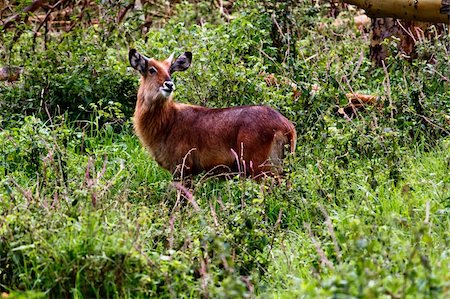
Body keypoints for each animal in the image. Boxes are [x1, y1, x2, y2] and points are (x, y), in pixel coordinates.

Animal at [128, 49, 298, 180]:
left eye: (170, 70)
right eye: (152, 70)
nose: (169, 84)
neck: (168, 121)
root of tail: (287, 126)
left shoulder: (182, 167)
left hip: (260, 167)